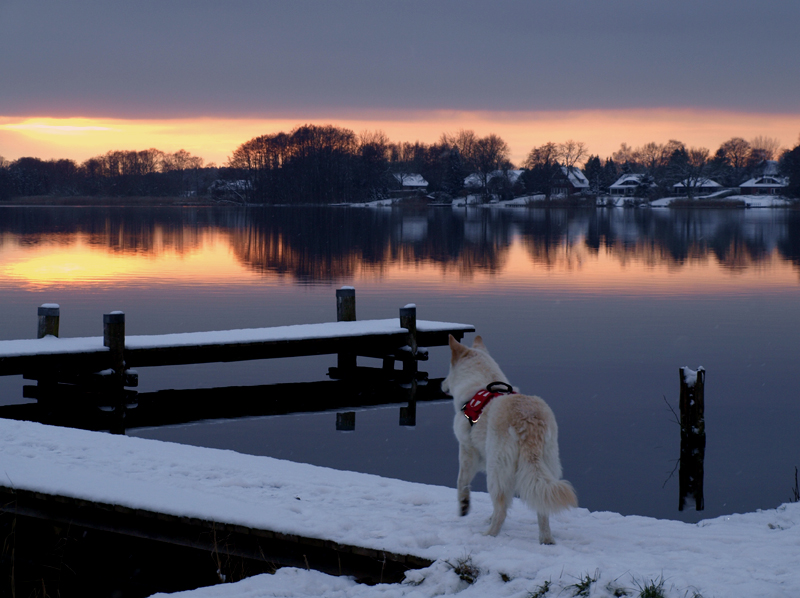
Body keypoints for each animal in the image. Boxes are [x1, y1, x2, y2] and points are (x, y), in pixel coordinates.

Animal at [440, 336, 580, 548]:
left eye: (448, 371)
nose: (442, 384)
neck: (480, 384)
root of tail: (529, 422)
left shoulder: (467, 450)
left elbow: (461, 482)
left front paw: (464, 506)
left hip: (496, 469)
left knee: (501, 509)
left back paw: (488, 535)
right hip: (545, 466)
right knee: (542, 508)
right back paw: (546, 540)